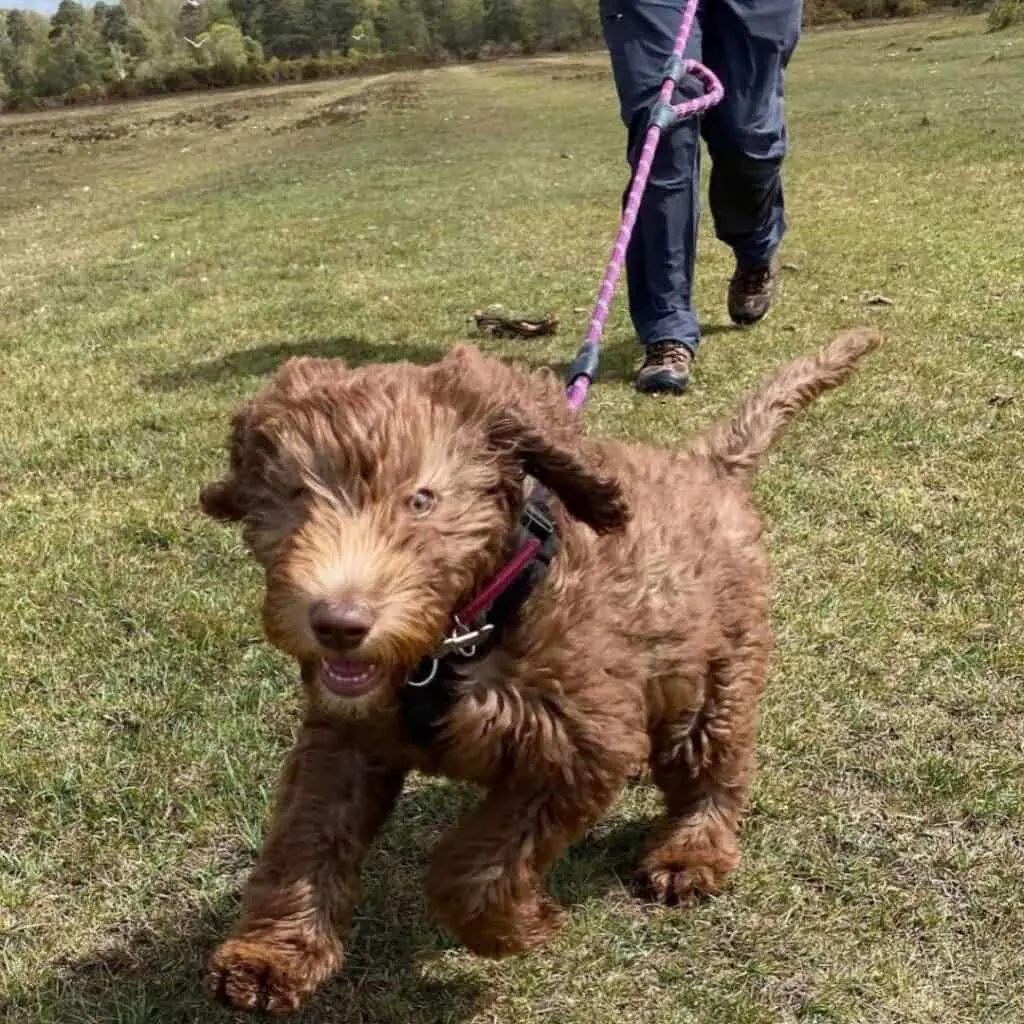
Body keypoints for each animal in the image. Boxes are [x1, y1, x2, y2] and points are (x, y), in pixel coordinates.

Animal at [197, 325, 880, 1007]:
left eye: (421, 500)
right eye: (294, 497)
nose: (338, 624)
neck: (461, 634)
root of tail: (705, 469)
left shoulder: (579, 746)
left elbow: (481, 867)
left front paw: (519, 926)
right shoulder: (345, 737)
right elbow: (306, 839)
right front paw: (270, 957)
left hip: (716, 672)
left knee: (713, 765)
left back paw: (690, 853)